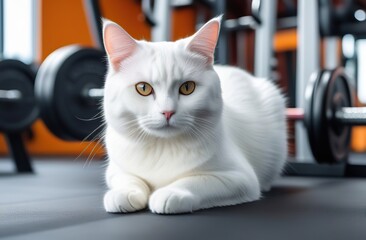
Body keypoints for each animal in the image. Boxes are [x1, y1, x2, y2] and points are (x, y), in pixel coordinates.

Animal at [101, 16, 288, 214]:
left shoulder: (240, 178)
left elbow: (195, 181)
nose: (167, 111)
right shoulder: (116, 170)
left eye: (187, 87)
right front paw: (124, 193)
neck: (163, 147)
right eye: (143, 88)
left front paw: (169, 193)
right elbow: (128, 179)